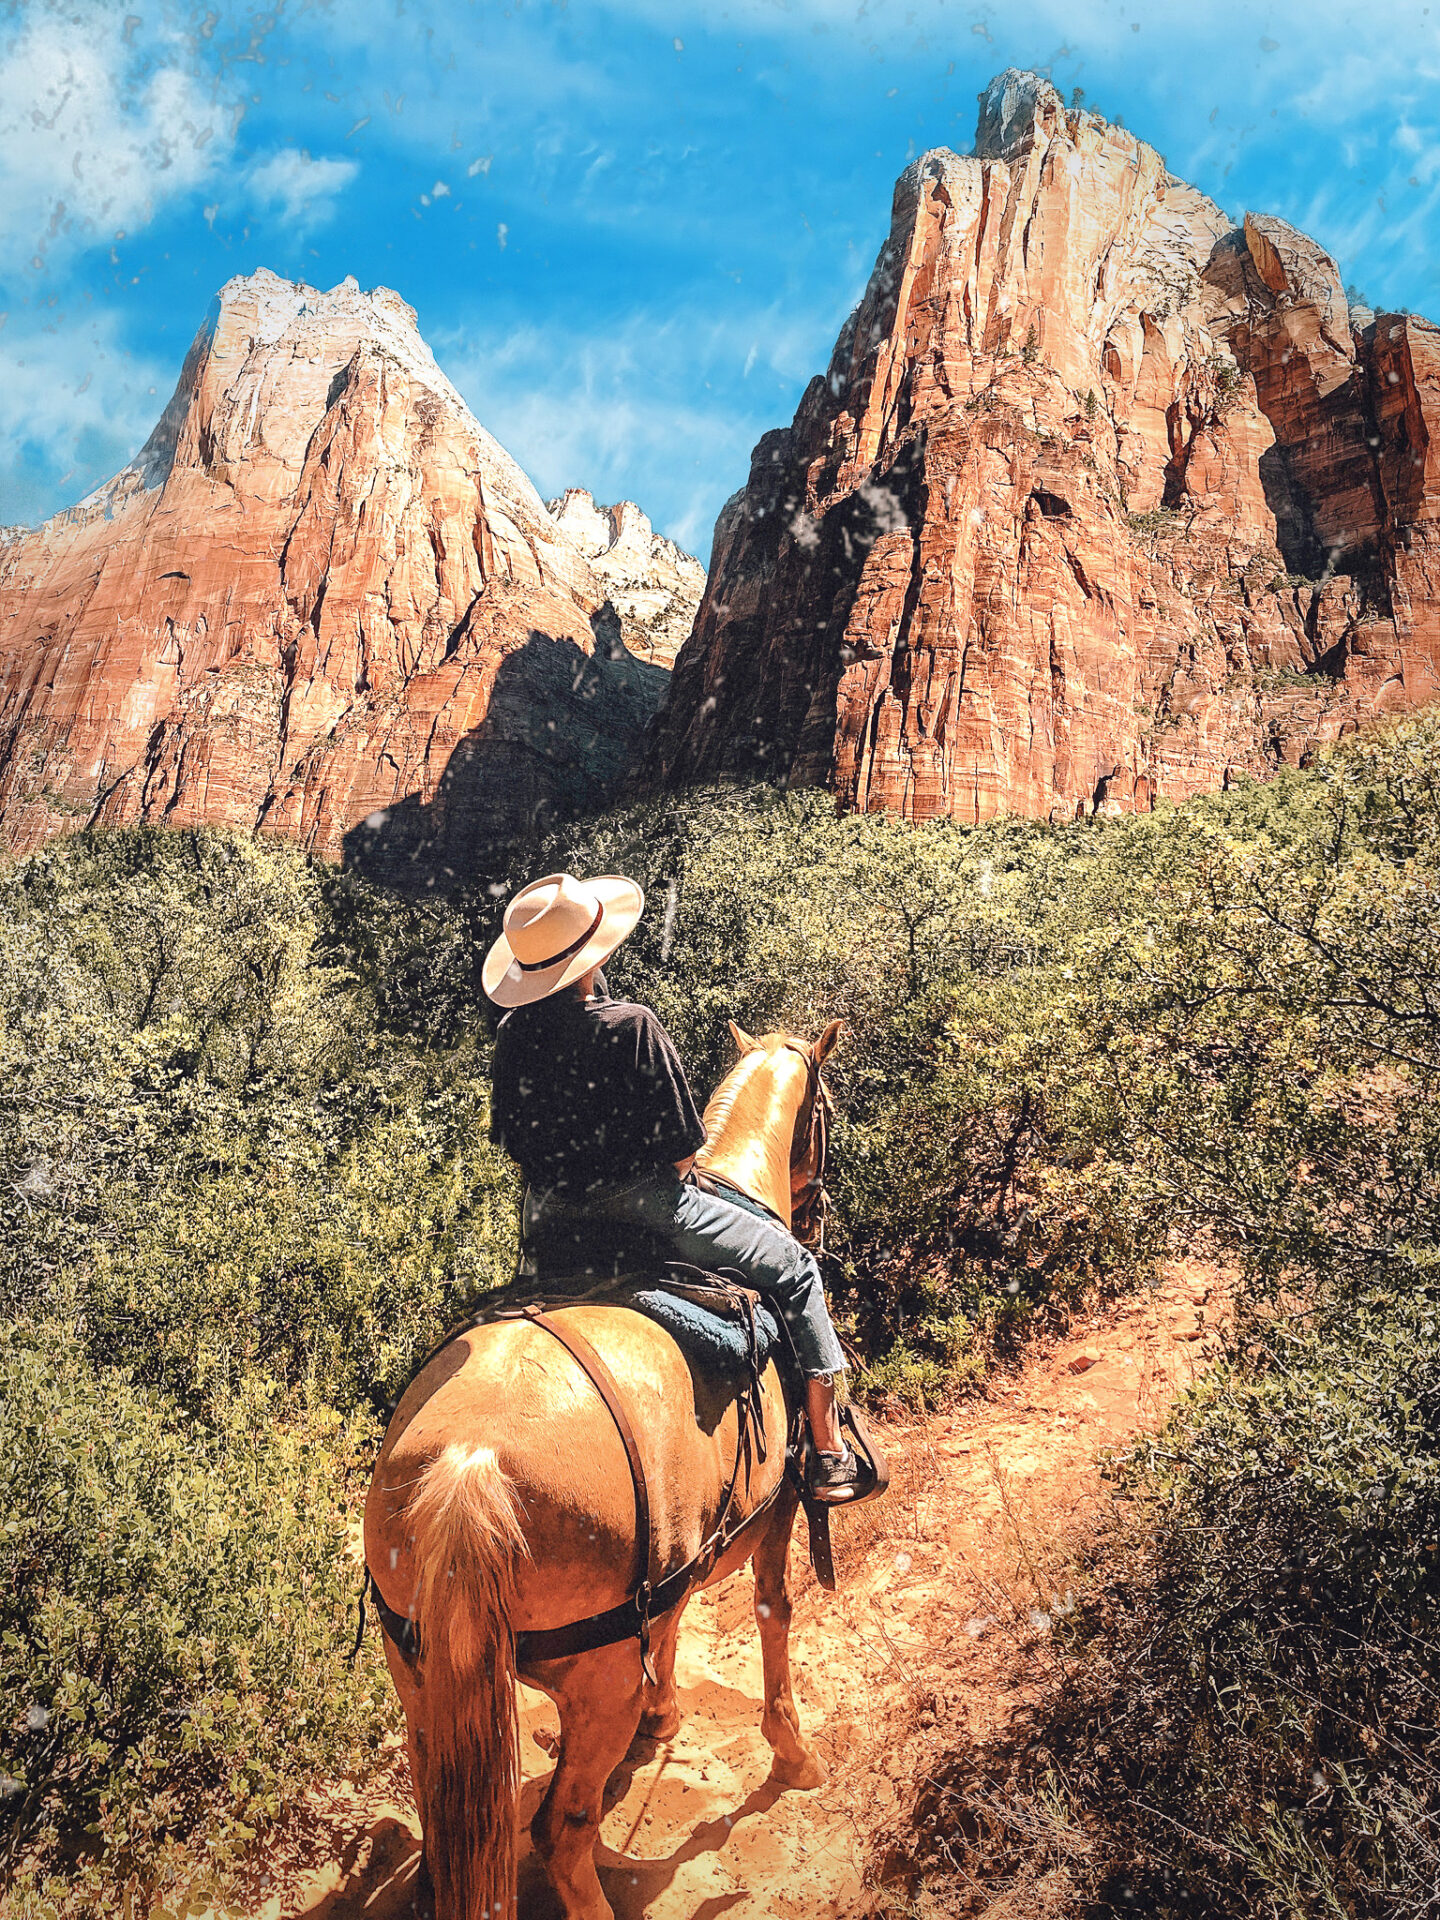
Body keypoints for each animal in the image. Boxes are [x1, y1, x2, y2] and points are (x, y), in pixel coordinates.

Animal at [360, 1013, 852, 1912]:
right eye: (825, 1112)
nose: (818, 1219)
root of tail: (468, 1465)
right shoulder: (777, 1511)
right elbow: (774, 1613)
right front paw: (794, 1754)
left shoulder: (675, 1562)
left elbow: (675, 1622)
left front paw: (664, 1716)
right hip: (595, 1682)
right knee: (561, 1829)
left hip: (419, 1673)